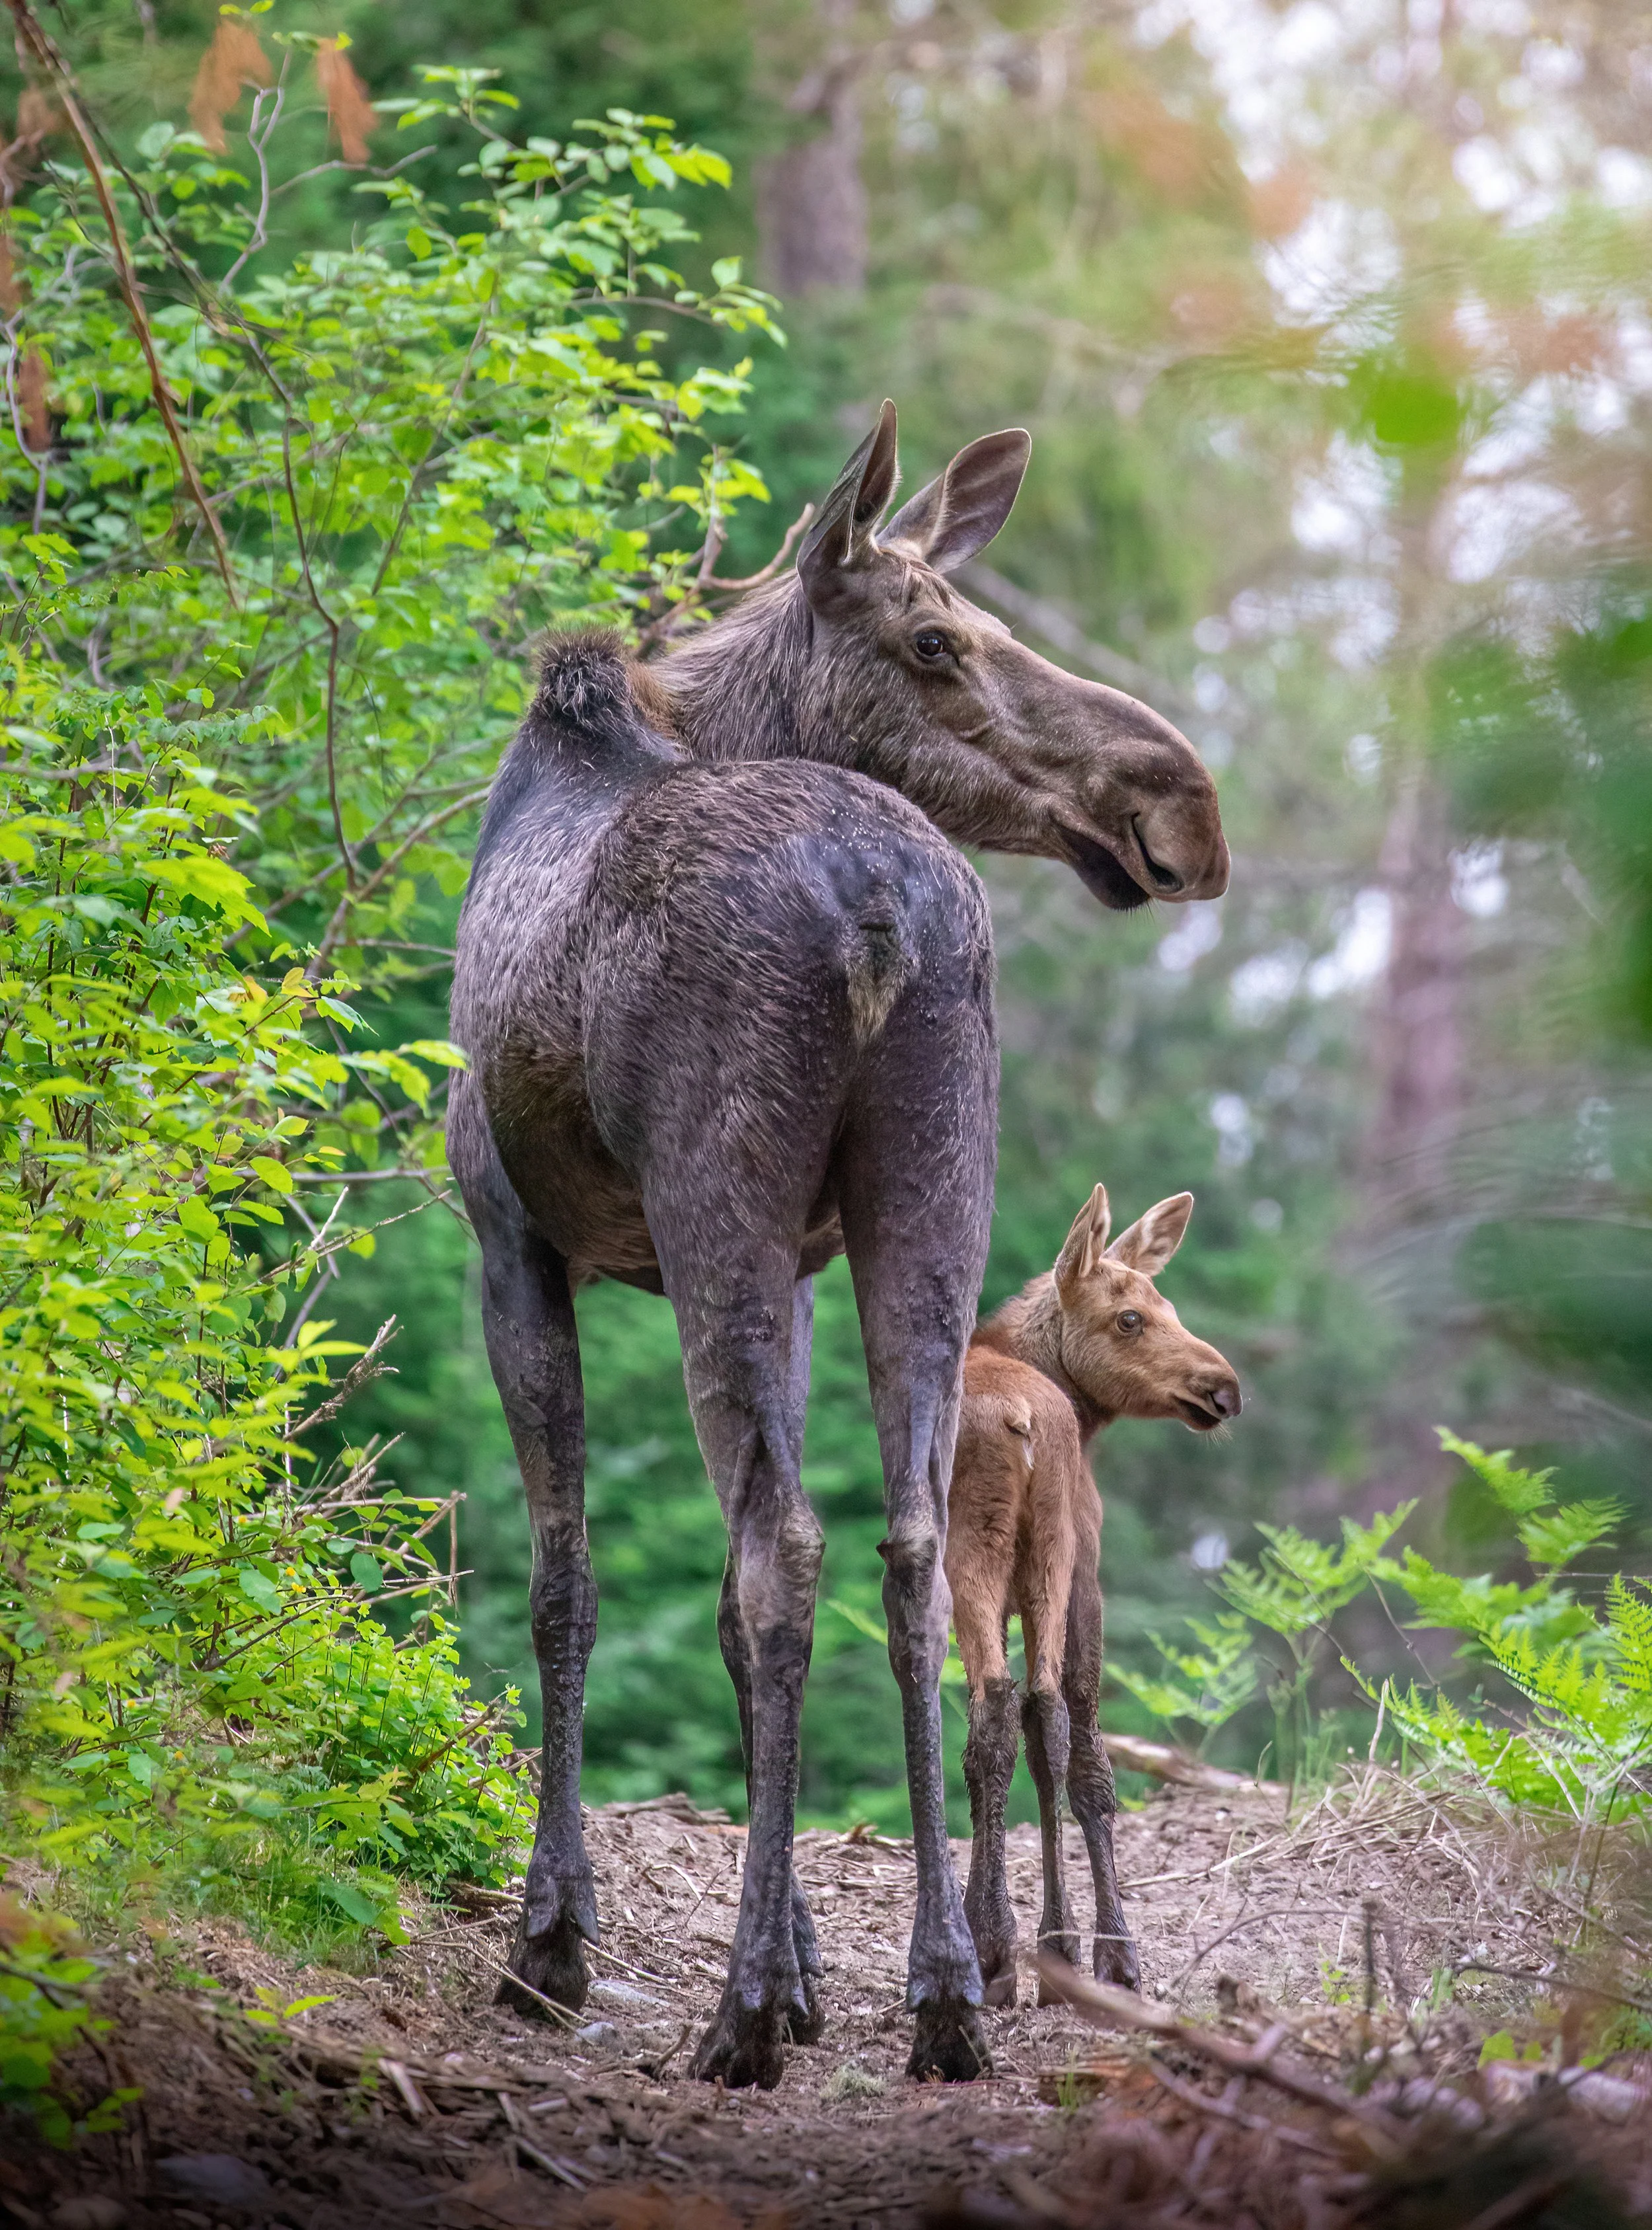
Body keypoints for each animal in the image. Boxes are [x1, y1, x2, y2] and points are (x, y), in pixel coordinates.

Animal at [947, 1183, 1241, 2008]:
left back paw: (999, 1941)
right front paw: (1108, 1951)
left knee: (1003, 1706)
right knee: (1040, 1709)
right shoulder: (1085, 1562)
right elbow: (1081, 1744)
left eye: (1168, 1302)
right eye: (1131, 1316)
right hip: (1047, 1546)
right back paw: (1053, 1944)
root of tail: (1019, 1422)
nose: (1225, 1387)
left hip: (984, 1551)